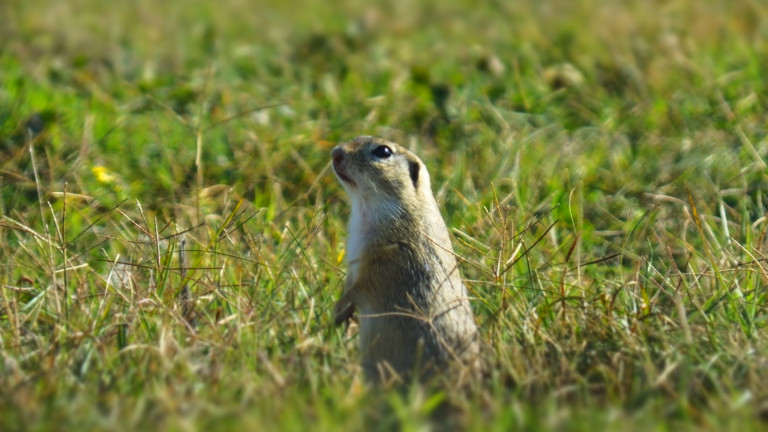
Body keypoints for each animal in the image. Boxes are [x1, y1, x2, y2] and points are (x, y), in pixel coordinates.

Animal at [332, 136, 476, 384]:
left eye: (383, 151)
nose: (335, 153)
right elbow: (351, 284)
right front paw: (343, 317)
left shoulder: (388, 261)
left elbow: (363, 288)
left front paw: (336, 312)